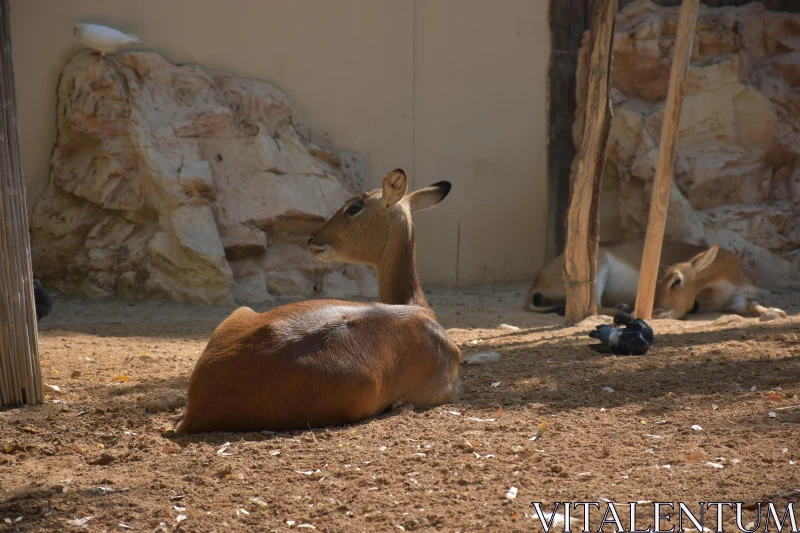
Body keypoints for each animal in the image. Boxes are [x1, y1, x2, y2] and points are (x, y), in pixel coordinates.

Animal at [524, 241, 788, 320]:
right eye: (658, 281)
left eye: (676, 280)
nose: (657, 310)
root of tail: (536, 280)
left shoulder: (736, 299)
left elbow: (753, 304)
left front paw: (776, 312)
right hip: (598, 266)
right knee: (594, 306)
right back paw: (627, 309)